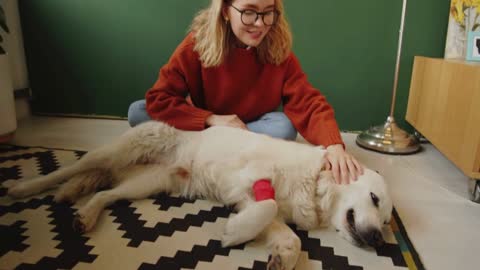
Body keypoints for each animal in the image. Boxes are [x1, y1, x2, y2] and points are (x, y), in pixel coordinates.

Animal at [2, 122, 394, 270]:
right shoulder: (249, 180)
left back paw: (84, 214)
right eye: (375, 199)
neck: (313, 184)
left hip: (147, 183)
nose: (378, 239)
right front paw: (234, 234)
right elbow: (267, 205)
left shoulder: (252, 200)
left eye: (388, 222)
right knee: (70, 170)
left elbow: (284, 231)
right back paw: (24, 187)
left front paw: (282, 255)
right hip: (117, 152)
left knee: (106, 194)